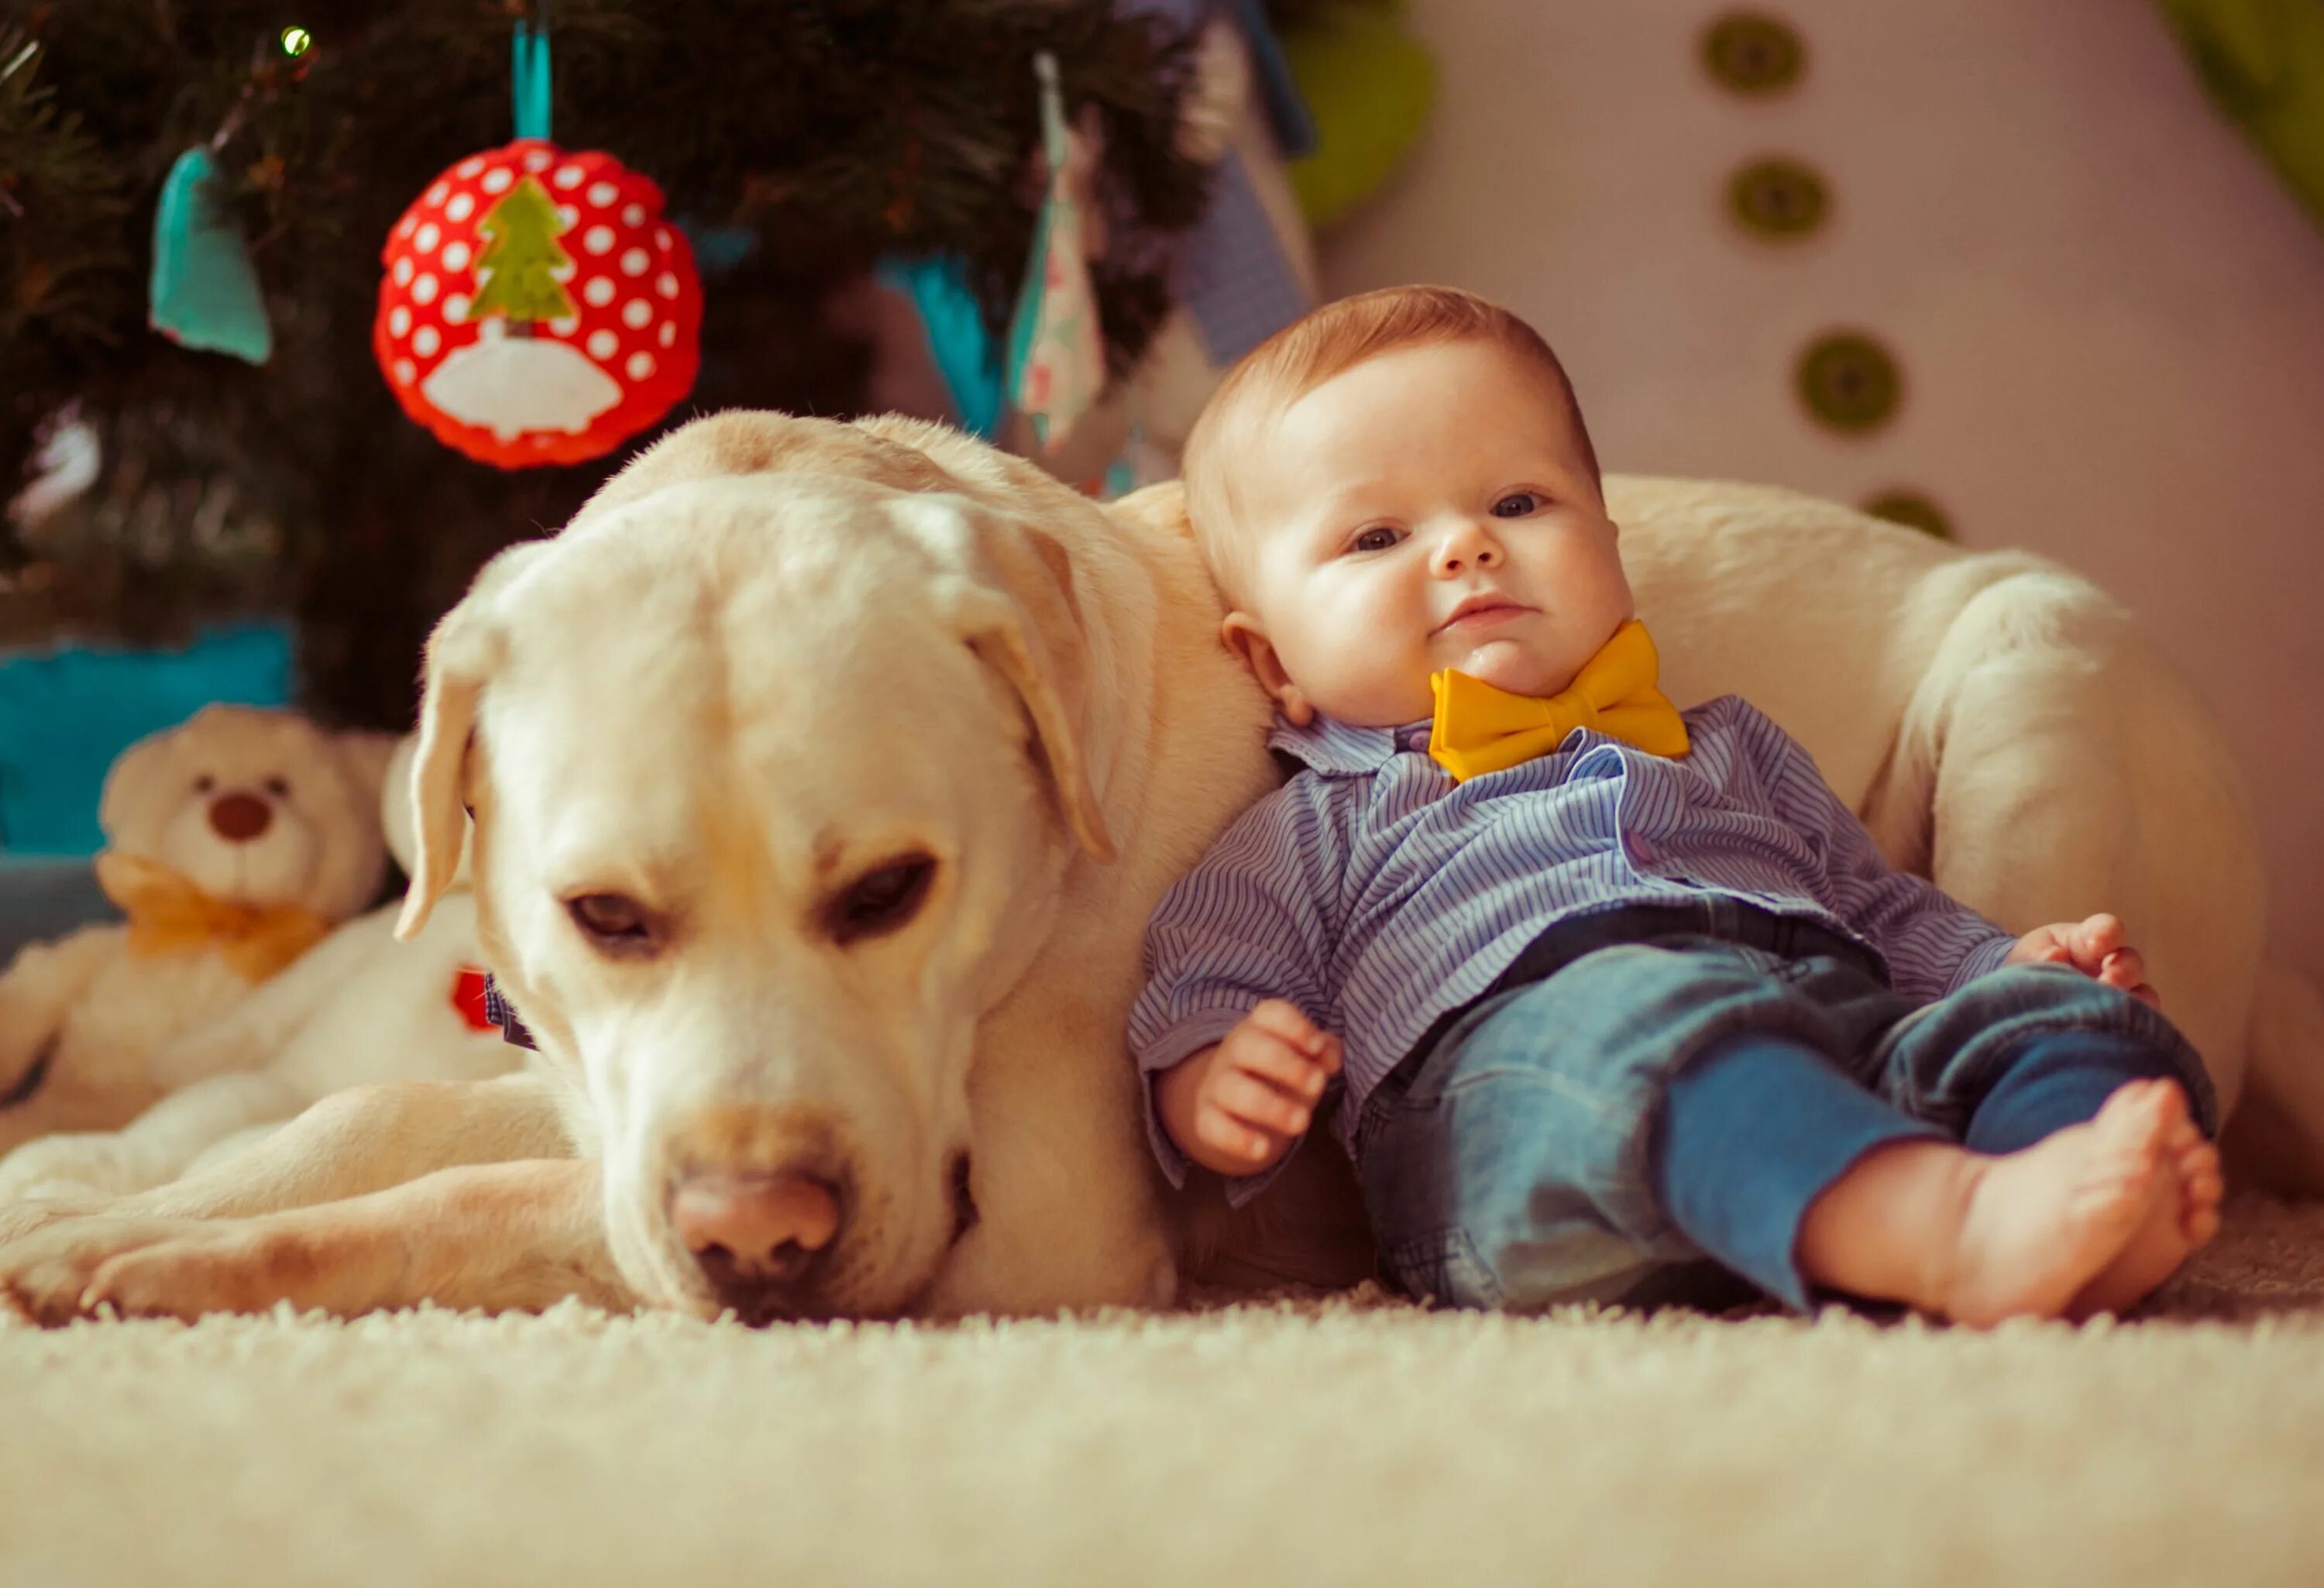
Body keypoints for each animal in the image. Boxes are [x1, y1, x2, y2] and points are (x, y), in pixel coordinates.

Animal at [9, 414, 2315, 1329]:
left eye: (891, 891)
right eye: (605, 918)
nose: (763, 1241)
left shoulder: (1017, 1227)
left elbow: (474, 1200)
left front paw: (179, 1256)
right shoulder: (590, 1083)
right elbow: (378, 1118)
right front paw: (94, 1195)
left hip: (2035, 681)